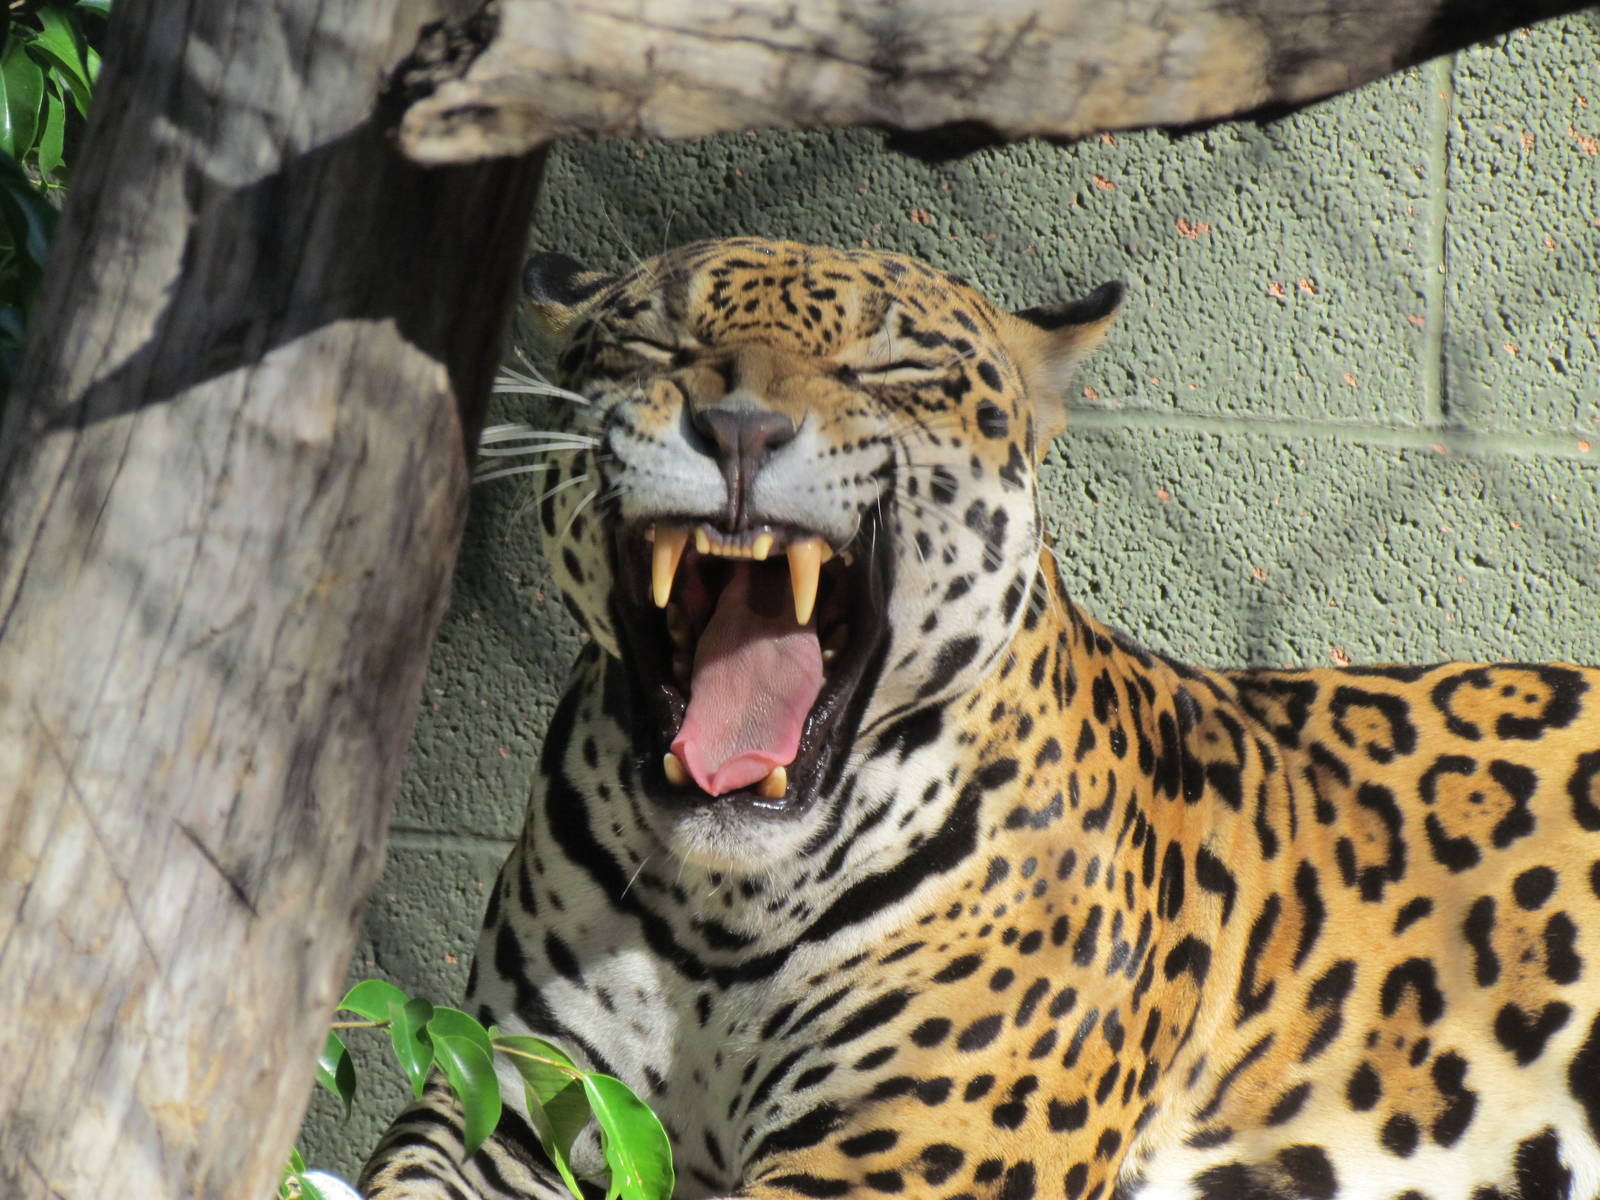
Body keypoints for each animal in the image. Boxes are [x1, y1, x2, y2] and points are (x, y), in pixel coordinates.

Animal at [360, 237, 1600, 1200]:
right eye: (654, 344)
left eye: (894, 364)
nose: (739, 428)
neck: (722, 905)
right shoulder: (511, 1086)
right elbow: (402, 1162)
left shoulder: (904, 1152)